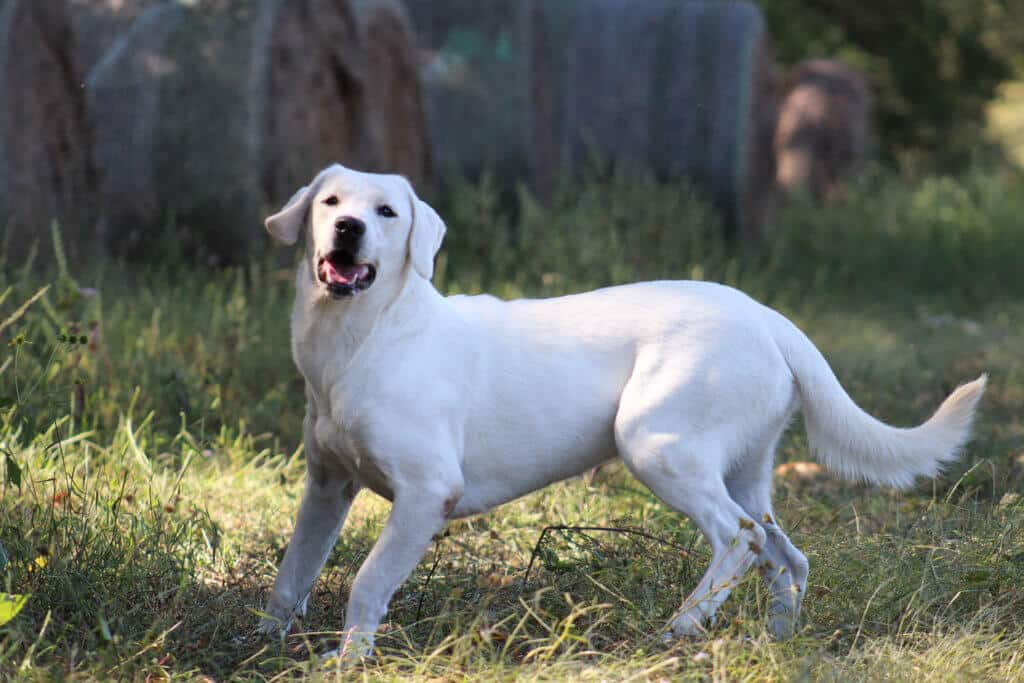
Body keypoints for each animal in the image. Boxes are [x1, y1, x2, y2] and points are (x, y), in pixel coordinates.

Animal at [260, 162, 987, 659]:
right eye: (329, 202)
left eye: (386, 212)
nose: (348, 229)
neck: (361, 339)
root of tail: (769, 317)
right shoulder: (326, 486)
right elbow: (292, 574)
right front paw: (263, 644)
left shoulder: (426, 492)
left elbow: (366, 580)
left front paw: (349, 660)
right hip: (745, 470)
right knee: (787, 555)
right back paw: (778, 642)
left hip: (654, 442)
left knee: (740, 539)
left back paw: (679, 629)